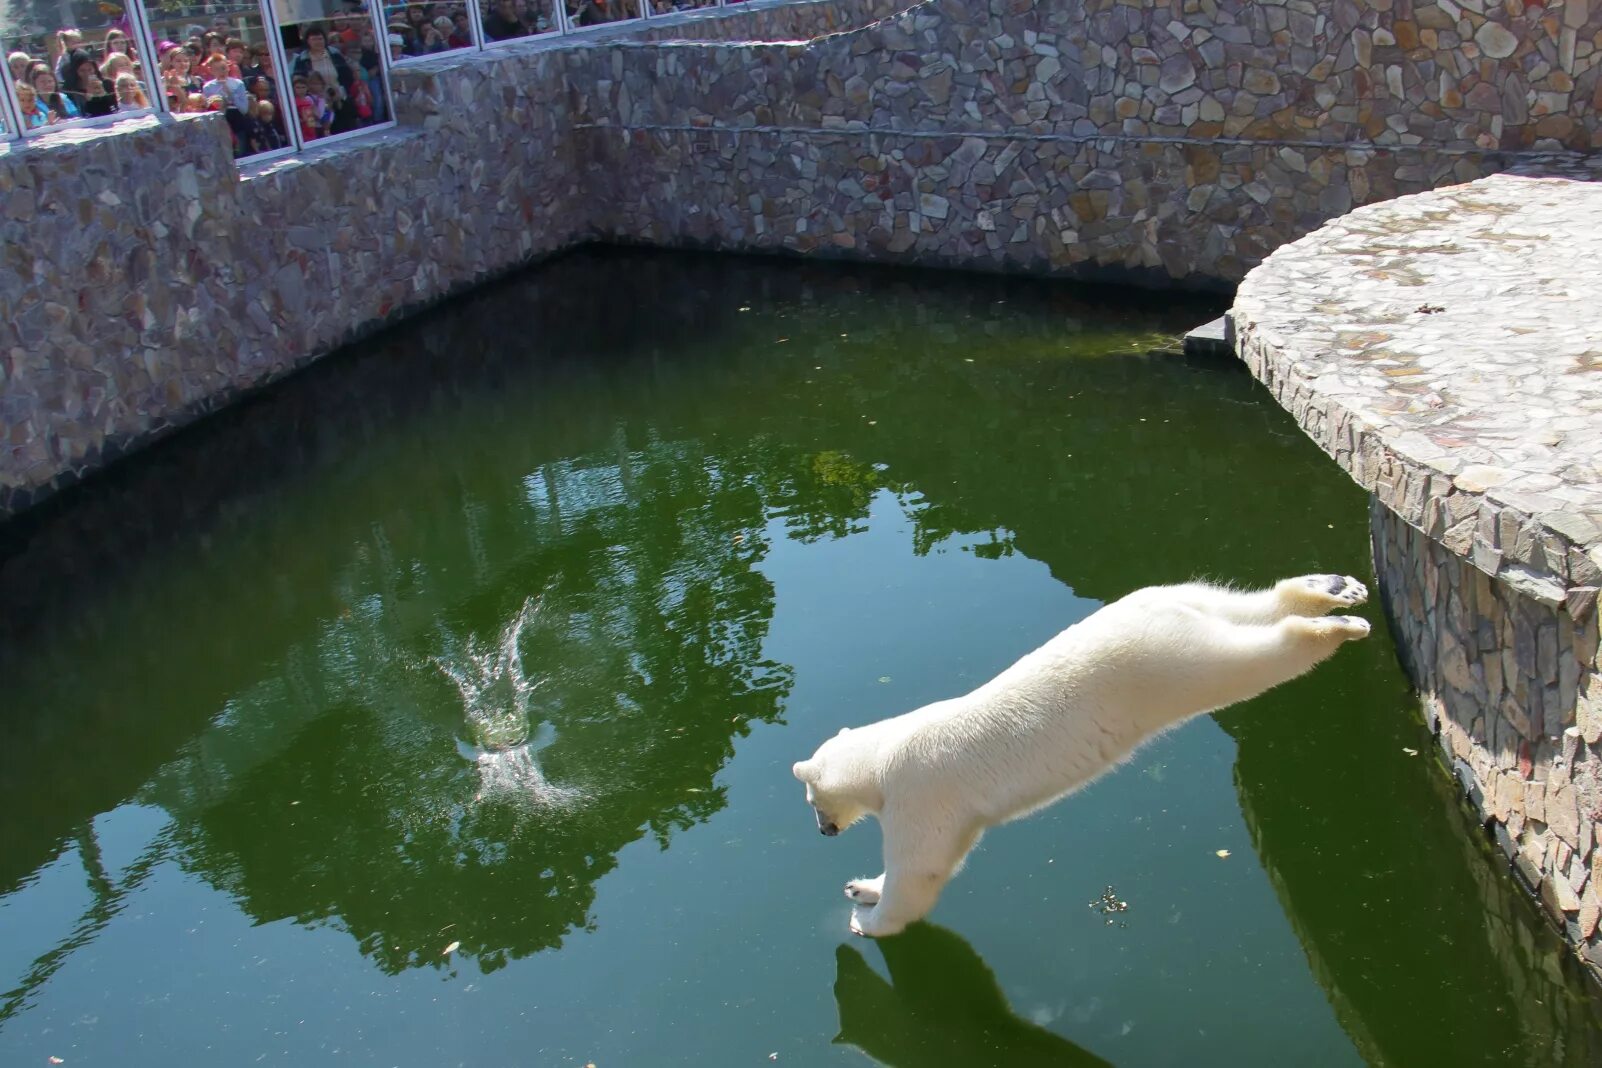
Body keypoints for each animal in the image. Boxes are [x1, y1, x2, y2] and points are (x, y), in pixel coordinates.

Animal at [794, 576, 1371, 935]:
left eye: (812, 800)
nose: (823, 832)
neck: (885, 749)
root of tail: (1162, 616)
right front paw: (859, 887)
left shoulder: (922, 794)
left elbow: (919, 870)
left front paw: (866, 919)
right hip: (1172, 598)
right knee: (1243, 606)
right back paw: (1331, 589)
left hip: (1163, 666)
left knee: (1247, 660)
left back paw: (1331, 629)